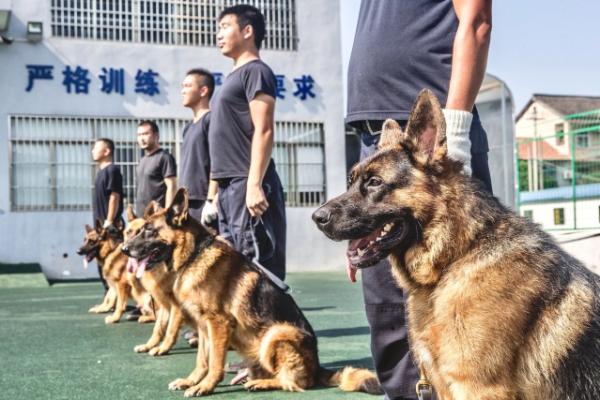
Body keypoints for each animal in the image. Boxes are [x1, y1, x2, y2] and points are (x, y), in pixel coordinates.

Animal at [124, 205, 185, 354]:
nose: (124, 248)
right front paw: (149, 345)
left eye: (143, 231)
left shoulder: (177, 307)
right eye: (128, 232)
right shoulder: (164, 305)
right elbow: (158, 328)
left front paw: (163, 348)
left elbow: (171, 329)